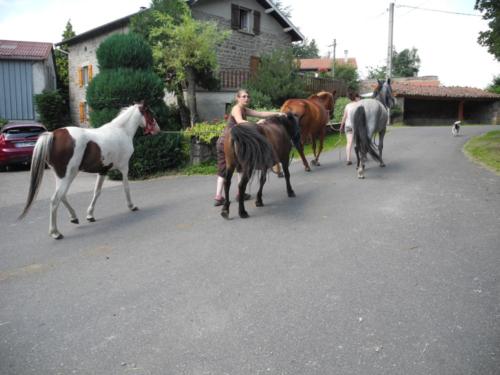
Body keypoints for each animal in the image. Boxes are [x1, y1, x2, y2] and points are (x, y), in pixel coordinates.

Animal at [18, 103, 159, 238]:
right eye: (150, 113)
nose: (158, 129)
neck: (122, 130)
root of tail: (53, 135)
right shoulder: (124, 168)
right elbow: (126, 188)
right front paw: (132, 206)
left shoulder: (103, 171)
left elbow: (97, 192)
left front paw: (90, 215)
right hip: (68, 176)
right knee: (55, 200)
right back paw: (55, 233)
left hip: (64, 176)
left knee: (62, 196)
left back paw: (74, 217)